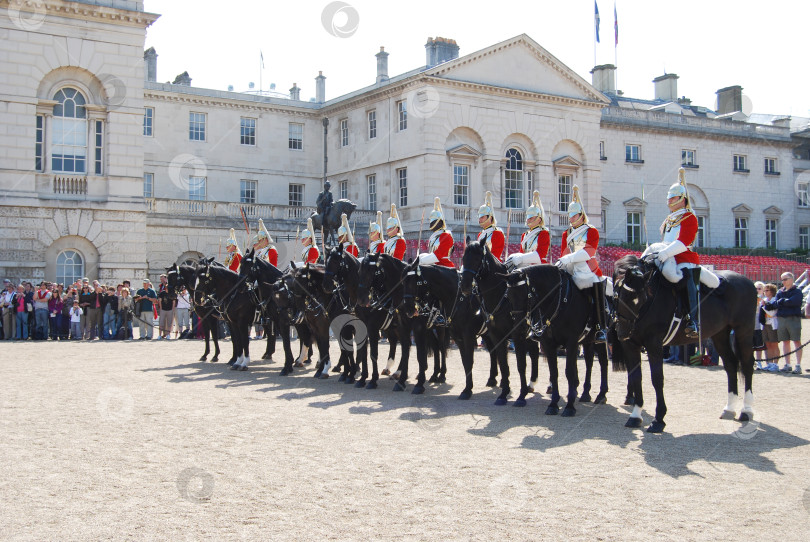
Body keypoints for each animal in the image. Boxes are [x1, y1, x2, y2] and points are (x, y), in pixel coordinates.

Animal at [502, 266, 608, 418]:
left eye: (525, 295)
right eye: (509, 296)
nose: (519, 327)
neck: (560, 301)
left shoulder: (571, 343)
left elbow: (569, 372)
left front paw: (569, 406)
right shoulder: (549, 343)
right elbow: (554, 372)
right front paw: (553, 404)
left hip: (600, 340)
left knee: (603, 362)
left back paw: (601, 394)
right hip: (587, 341)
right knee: (589, 362)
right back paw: (585, 393)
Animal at [608, 255, 756, 434]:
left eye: (641, 299)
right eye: (619, 296)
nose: (623, 332)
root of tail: (747, 281)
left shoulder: (654, 344)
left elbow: (657, 379)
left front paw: (659, 419)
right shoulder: (630, 345)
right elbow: (636, 377)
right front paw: (636, 416)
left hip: (744, 331)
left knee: (747, 365)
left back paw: (746, 411)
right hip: (720, 334)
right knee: (731, 365)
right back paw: (729, 408)